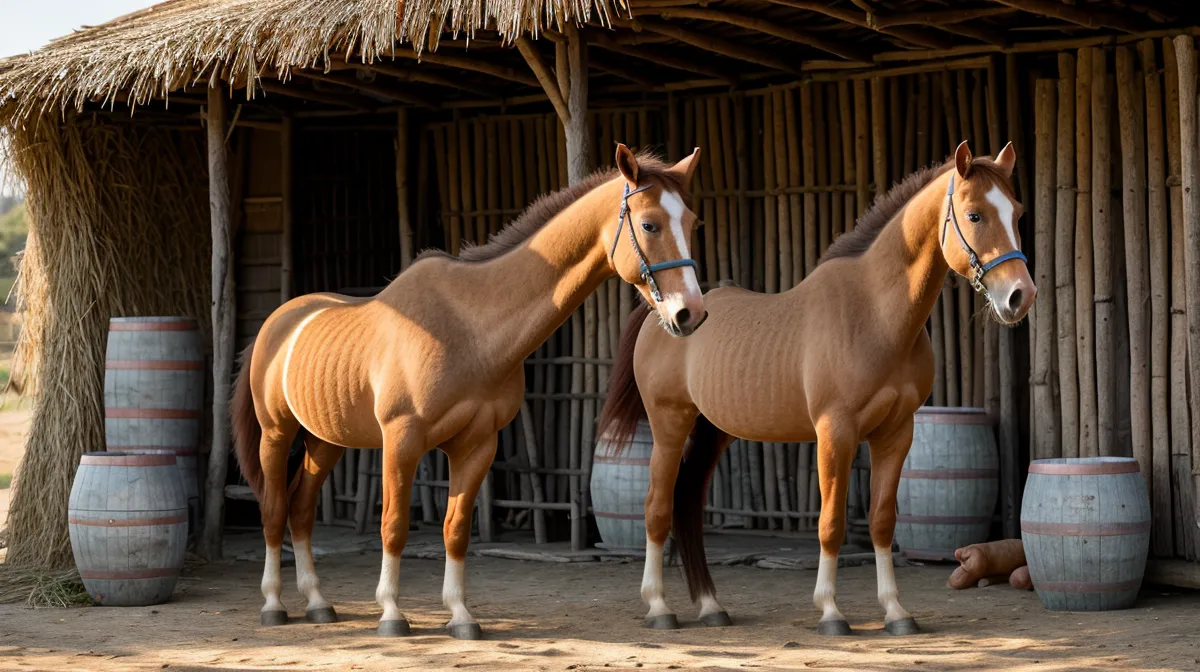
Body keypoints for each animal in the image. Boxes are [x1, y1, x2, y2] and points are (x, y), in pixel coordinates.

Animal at [232, 144, 706, 639]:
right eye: (650, 224)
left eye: (692, 222)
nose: (690, 313)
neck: (469, 327)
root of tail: (278, 325)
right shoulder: (402, 442)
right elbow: (394, 525)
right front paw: (392, 615)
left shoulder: (477, 445)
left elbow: (456, 529)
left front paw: (460, 615)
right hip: (276, 435)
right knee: (274, 511)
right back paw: (273, 605)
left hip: (324, 442)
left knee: (301, 511)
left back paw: (319, 603)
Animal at [597, 141, 1036, 636]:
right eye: (975, 214)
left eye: (1017, 212)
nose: (1020, 296)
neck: (874, 315)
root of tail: (666, 313)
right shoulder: (835, 433)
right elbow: (831, 523)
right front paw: (830, 613)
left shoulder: (896, 433)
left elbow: (882, 521)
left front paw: (896, 612)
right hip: (669, 423)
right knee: (657, 507)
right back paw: (659, 608)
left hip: (712, 431)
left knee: (686, 501)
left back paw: (711, 607)